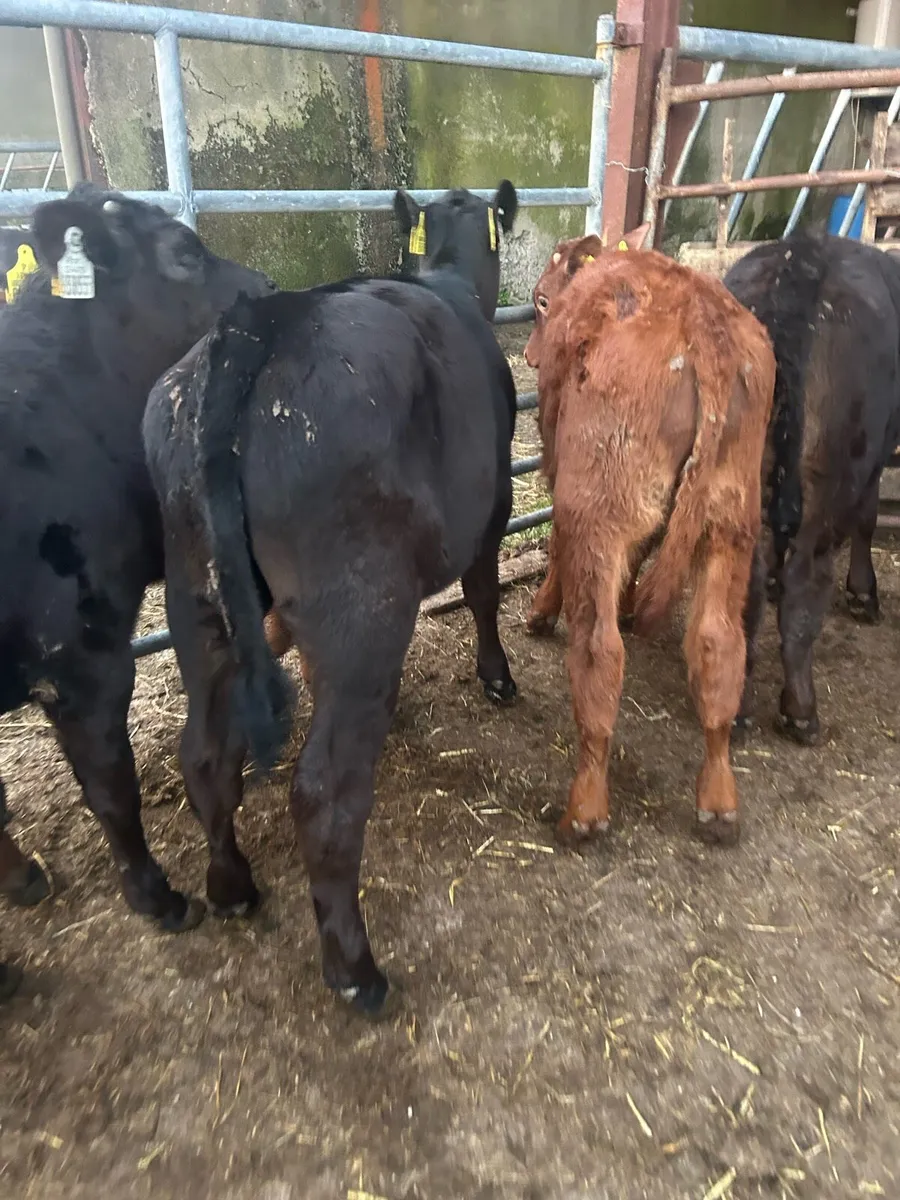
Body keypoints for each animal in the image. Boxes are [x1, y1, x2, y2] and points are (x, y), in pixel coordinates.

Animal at [143, 265, 520, 1014]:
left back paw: (231, 887)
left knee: (204, 755)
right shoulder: (494, 509)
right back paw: (356, 971)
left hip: (193, 594)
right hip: (359, 605)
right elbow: (484, 592)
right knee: (324, 793)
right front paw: (497, 675)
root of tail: (261, 325)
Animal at [523, 230, 775, 845]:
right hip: (730, 524)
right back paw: (718, 802)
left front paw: (541, 612)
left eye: (541, 299)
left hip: (594, 509)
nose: (530, 356)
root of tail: (702, 316)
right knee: (718, 642)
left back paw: (585, 811)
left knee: (599, 652)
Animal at [724, 234, 900, 743]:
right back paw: (800, 708)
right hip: (832, 479)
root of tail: (799, 262)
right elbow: (868, 519)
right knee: (806, 586)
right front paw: (863, 593)